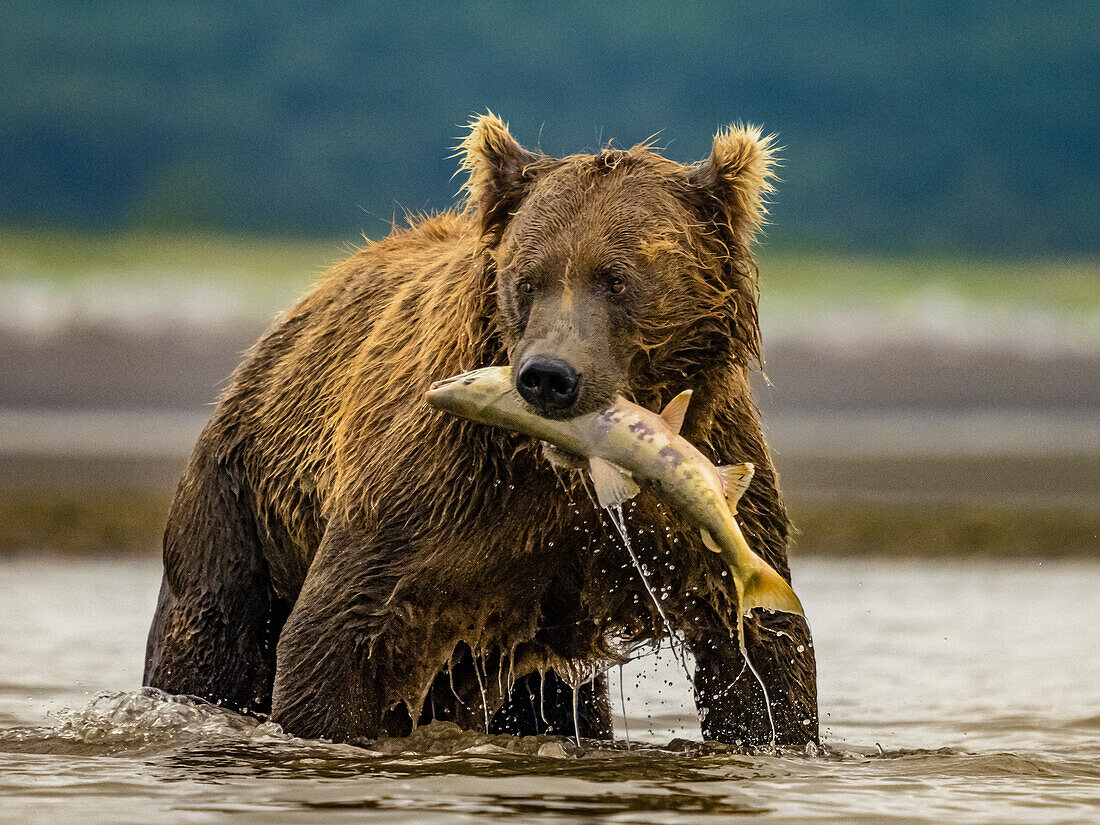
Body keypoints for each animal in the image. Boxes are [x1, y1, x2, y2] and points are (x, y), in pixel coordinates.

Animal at [141, 113, 818, 748]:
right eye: (527, 278)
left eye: (617, 279)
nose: (548, 376)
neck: (565, 466)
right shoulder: (443, 485)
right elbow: (341, 630)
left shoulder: (701, 489)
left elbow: (762, 658)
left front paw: (775, 727)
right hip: (239, 509)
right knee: (207, 638)